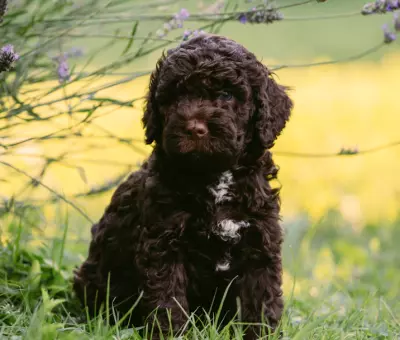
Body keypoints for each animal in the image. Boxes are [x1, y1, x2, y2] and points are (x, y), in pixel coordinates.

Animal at [72, 33, 294, 338]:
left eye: (226, 94)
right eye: (176, 96)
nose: (195, 128)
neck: (214, 177)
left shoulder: (260, 244)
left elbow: (262, 304)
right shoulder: (163, 247)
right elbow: (169, 303)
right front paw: (174, 334)